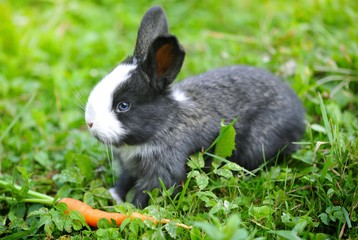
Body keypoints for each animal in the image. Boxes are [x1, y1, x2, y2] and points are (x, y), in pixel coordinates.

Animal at [84, 6, 304, 208]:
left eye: (123, 106)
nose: (90, 123)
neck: (166, 124)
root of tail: (299, 115)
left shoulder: (164, 171)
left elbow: (147, 192)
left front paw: (131, 210)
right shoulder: (130, 168)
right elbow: (124, 181)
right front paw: (114, 197)